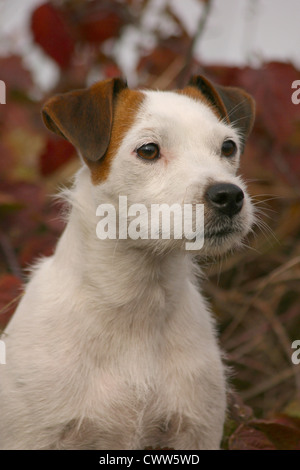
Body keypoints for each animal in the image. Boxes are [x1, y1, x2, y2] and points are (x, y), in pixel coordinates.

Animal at [0, 75, 255, 450]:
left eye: (228, 147)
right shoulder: (33, 437)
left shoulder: (196, 432)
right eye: (148, 150)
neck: (137, 305)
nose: (229, 196)